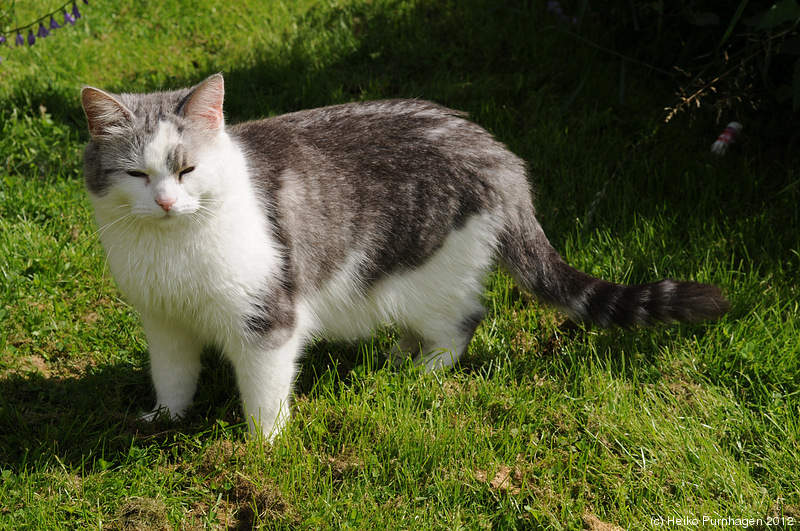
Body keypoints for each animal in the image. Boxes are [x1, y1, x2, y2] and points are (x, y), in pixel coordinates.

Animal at [79, 75, 724, 440]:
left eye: (187, 169)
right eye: (136, 174)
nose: (166, 201)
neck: (173, 251)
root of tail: (498, 155)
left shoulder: (268, 321)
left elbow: (263, 394)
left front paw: (263, 449)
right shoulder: (163, 324)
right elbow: (173, 378)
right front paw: (165, 419)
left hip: (425, 276)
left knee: (462, 322)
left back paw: (421, 373)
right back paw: (396, 358)